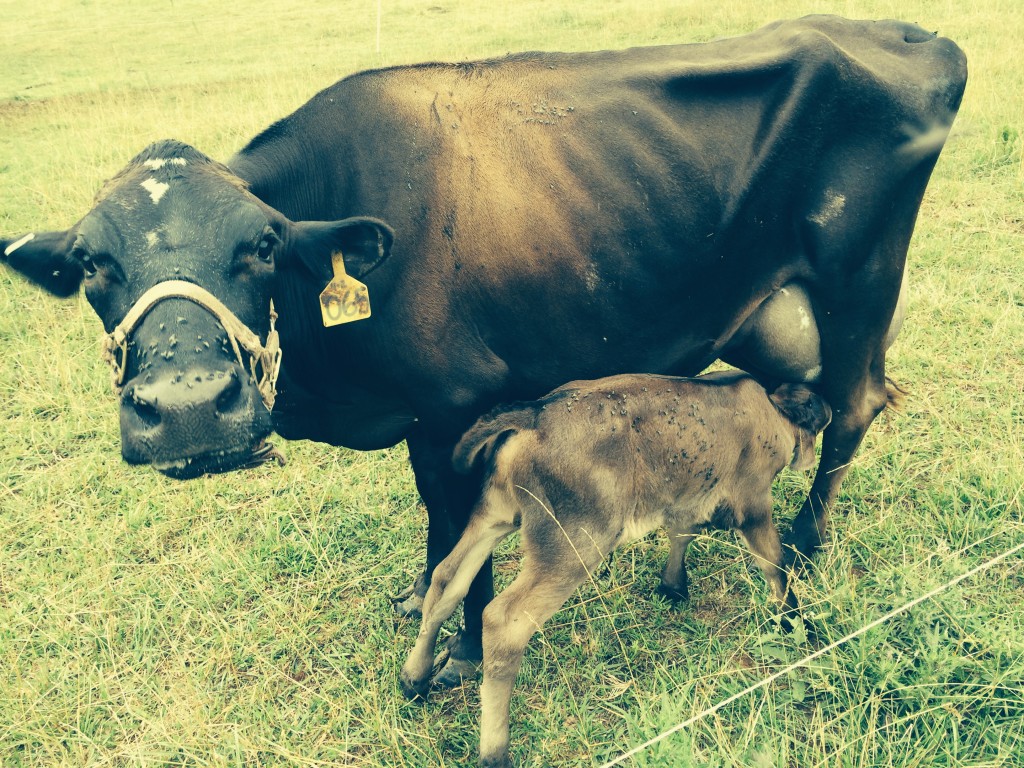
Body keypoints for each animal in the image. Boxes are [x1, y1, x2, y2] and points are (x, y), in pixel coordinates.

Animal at [0, 16, 962, 692]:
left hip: (857, 285)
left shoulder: (454, 411)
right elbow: (440, 540)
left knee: (853, 409)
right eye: (90, 262)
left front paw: (456, 651)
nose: (191, 406)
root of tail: (906, 34)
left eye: (261, 246)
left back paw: (805, 540)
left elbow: (455, 539)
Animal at [399, 370, 831, 765]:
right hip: (573, 547)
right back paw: (494, 752)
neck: (766, 407)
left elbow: (682, 533)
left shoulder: (685, 499)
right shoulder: (754, 504)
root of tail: (535, 414)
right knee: (504, 621)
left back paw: (413, 678)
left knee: (446, 579)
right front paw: (798, 625)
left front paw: (673, 586)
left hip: (494, 515)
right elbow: (775, 567)